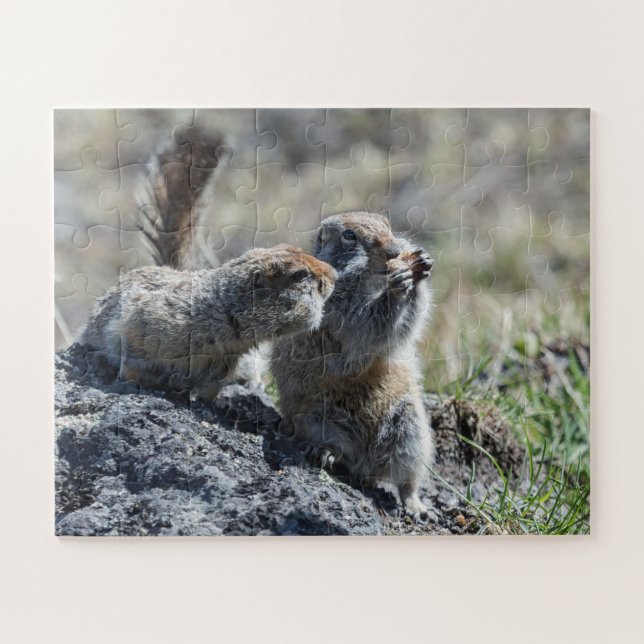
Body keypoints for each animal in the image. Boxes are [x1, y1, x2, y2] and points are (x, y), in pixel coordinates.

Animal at [77, 133, 337, 401]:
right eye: (299, 274)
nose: (334, 274)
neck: (221, 312)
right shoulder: (148, 323)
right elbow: (131, 352)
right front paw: (130, 381)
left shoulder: (227, 360)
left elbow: (213, 386)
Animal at [271, 212, 435, 518]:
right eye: (349, 236)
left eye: (388, 224)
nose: (394, 250)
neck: (370, 281)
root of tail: (365, 463)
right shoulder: (339, 307)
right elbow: (369, 327)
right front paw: (400, 282)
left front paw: (420, 265)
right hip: (315, 419)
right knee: (340, 452)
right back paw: (325, 453)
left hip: (412, 430)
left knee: (406, 479)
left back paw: (416, 506)